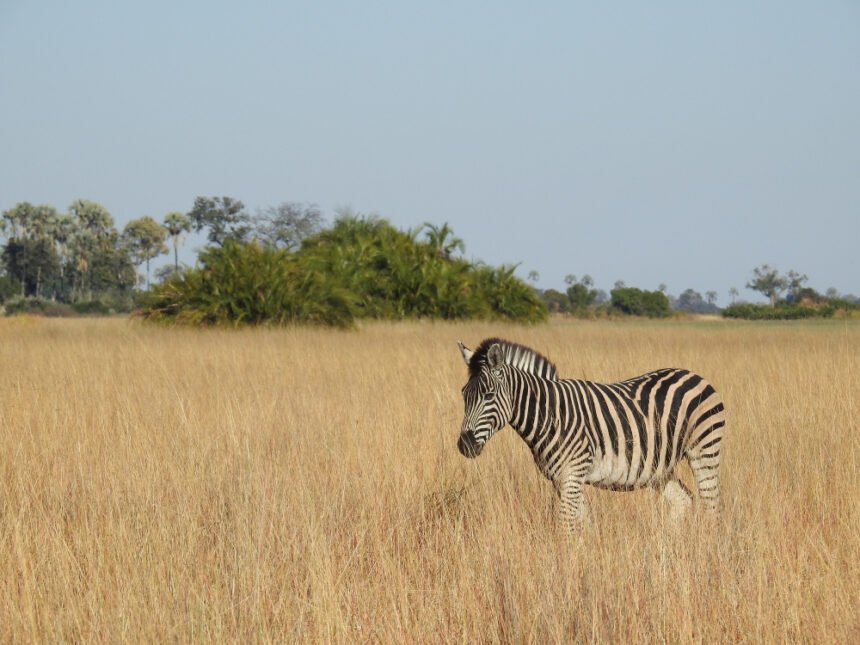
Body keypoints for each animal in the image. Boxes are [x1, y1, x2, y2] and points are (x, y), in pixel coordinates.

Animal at [457, 338, 725, 531]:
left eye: (489, 395)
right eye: (464, 394)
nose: (464, 445)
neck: (551, 416)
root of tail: (693, 374)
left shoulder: (572, 473)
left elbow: (566, 525)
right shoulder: (562, 479)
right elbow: (583, 524)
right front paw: (584, 557)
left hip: (704, 451)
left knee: (712, 505)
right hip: (659, 467)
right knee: (684, 500)